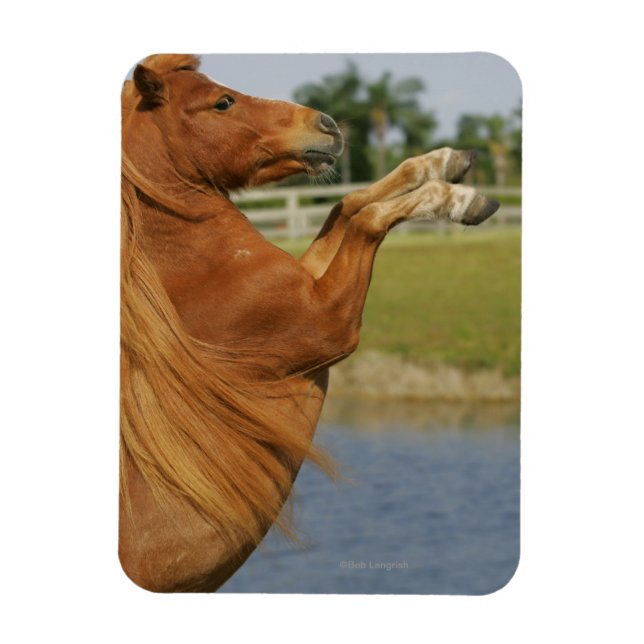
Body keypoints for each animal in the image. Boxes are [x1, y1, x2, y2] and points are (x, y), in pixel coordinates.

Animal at [120, 53, 499, 592]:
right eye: (222, 102)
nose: (329, 125)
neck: (189, 272)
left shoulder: (309, 281)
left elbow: (349, 202)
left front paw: (446, 161)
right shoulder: (329, 324)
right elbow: (367, 217)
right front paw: (460, 199)